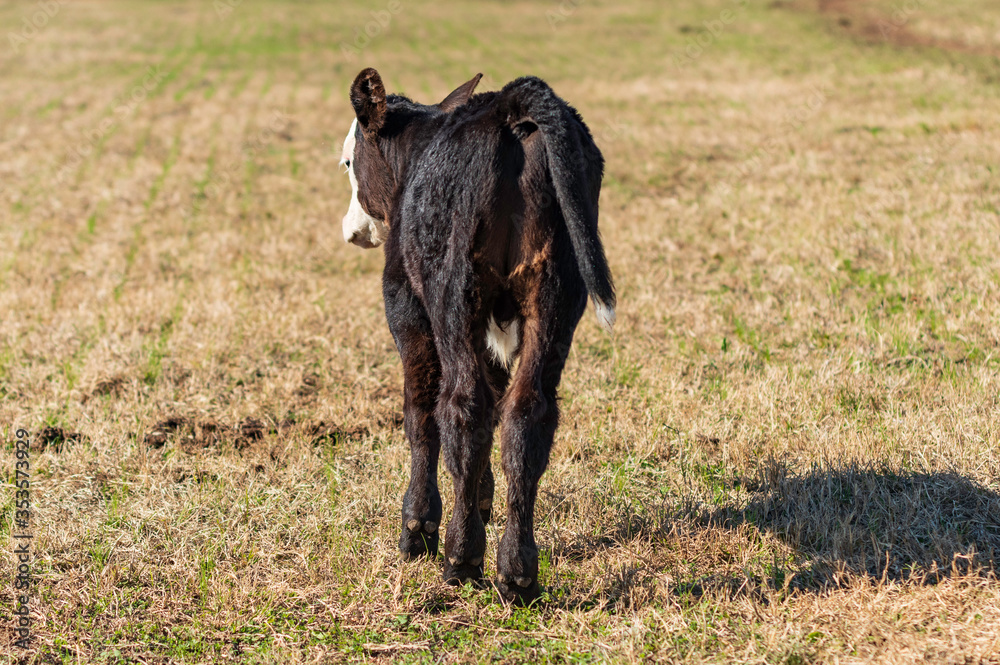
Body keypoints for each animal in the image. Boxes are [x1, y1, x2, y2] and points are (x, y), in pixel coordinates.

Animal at [339, 68, 615, 603]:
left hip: (453, 293)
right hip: (557, 293)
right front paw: (482, 503)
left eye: (347, 161)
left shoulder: (405, 306)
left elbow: (420, 413)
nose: (351, 229)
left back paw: (461, 559)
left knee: (462, 406)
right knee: (526, 414)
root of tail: (508, 108)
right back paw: (517, 571)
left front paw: (418, 526)